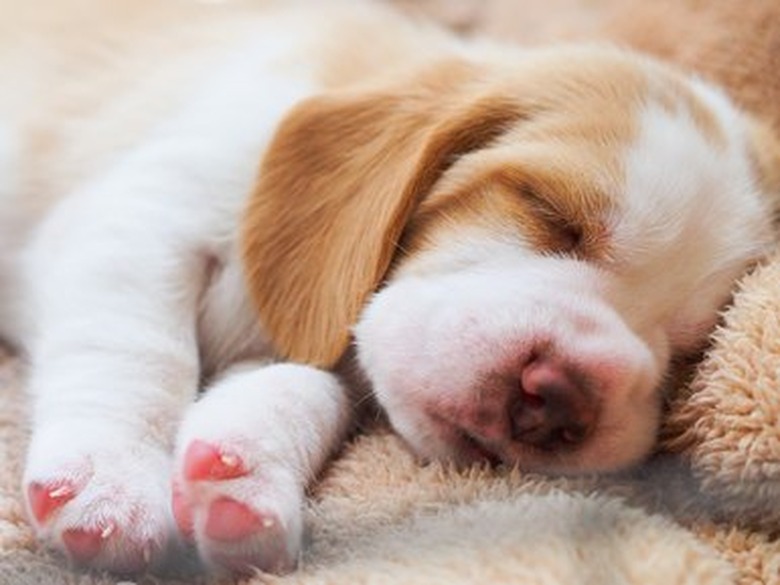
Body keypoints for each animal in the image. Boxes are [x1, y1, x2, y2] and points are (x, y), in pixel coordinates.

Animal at [1, 0, 780, 576]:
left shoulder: (314, 354)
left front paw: (244, 475)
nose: (561, 395)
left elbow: (302, 386)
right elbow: (138, 351)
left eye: (686, 351)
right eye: (548, 212)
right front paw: (112, 481)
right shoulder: (140, 216)